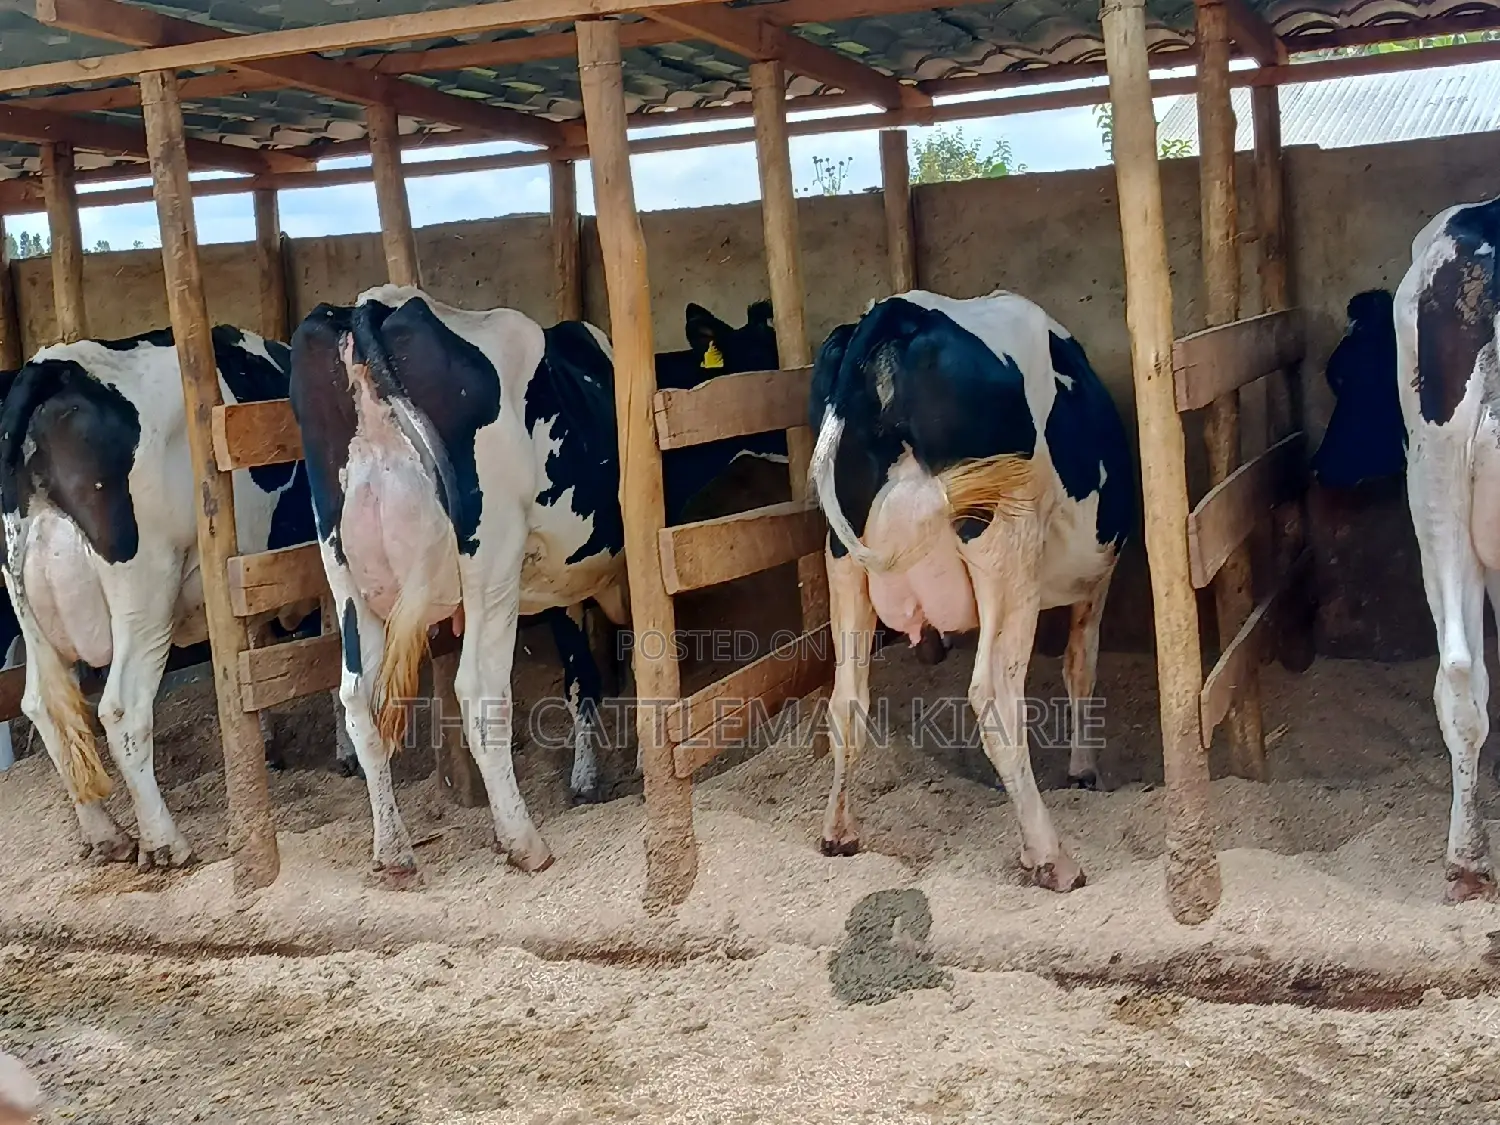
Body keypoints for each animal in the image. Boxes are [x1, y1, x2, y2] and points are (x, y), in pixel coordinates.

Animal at [0, 326, 346, 869]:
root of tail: (52, 367)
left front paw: (266, 743)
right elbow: (330, 654)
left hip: (29, 605)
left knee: (44, 707)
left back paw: (107, 835)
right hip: (145, 588)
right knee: (122, 708)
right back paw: (166, 842)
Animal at [290, 286, 796, 877]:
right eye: (762, 358)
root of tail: (371, 305)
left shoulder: (560, 583)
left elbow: (581, 680)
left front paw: (585, 778)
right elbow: (632, 666)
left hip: (345, 570)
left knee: (357, 698)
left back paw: (393, 850)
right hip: (490, 560)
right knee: (479, 691)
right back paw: (523, 841)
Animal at [807, 289, 1133, 892]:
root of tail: (897, 311)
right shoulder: (1097, 577)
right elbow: (1081, 665)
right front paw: (1084, 771)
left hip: (841, 556)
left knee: (847, 700)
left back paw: (838, 831)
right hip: (1007, 540)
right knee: (996, 698)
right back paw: (1051, 857)